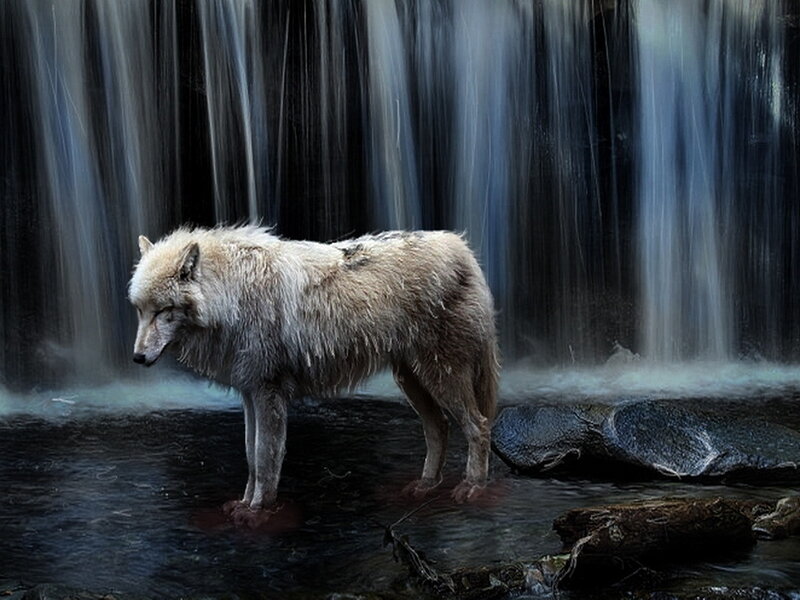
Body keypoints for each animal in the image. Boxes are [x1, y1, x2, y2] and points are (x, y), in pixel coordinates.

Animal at [128, 226, 498, 521]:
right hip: (412, 381)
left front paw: (257, 510)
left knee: (478, 425)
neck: (232, 297)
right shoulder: (250, 394)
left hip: (441, 376)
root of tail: (461, 247)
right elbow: (251, 456)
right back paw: (426, 484)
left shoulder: (269, 394)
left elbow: (265, 457)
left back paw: (474, 487)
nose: (137, 357)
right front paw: (245, 503)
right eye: (140, 310)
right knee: (440, 427)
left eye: (164, 311)